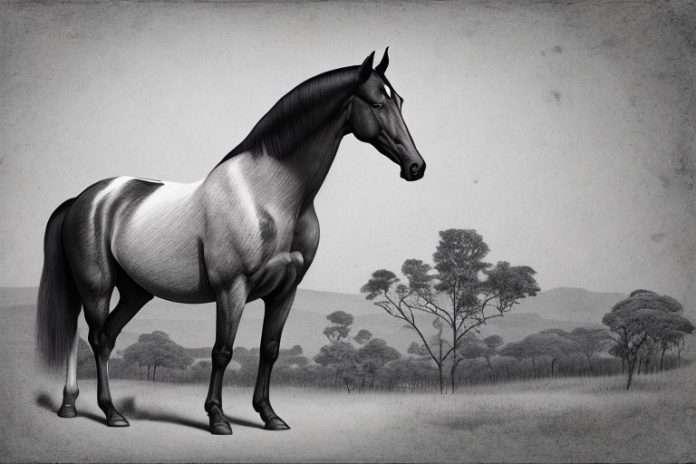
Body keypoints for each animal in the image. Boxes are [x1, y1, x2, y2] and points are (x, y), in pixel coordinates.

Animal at [36, 49, 425, 435]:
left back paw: (77, 406)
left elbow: (270, 349)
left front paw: (269, 415)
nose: (416, 167)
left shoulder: (286, 290)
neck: (266, 196)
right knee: (94, 338)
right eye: (376, 103)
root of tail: (85, 199)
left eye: (400, 101)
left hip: (135, 292)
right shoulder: (231, 288)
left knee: (106, 338)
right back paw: (106, 411)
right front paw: (217, 418)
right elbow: (222, 351)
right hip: (96, 288)